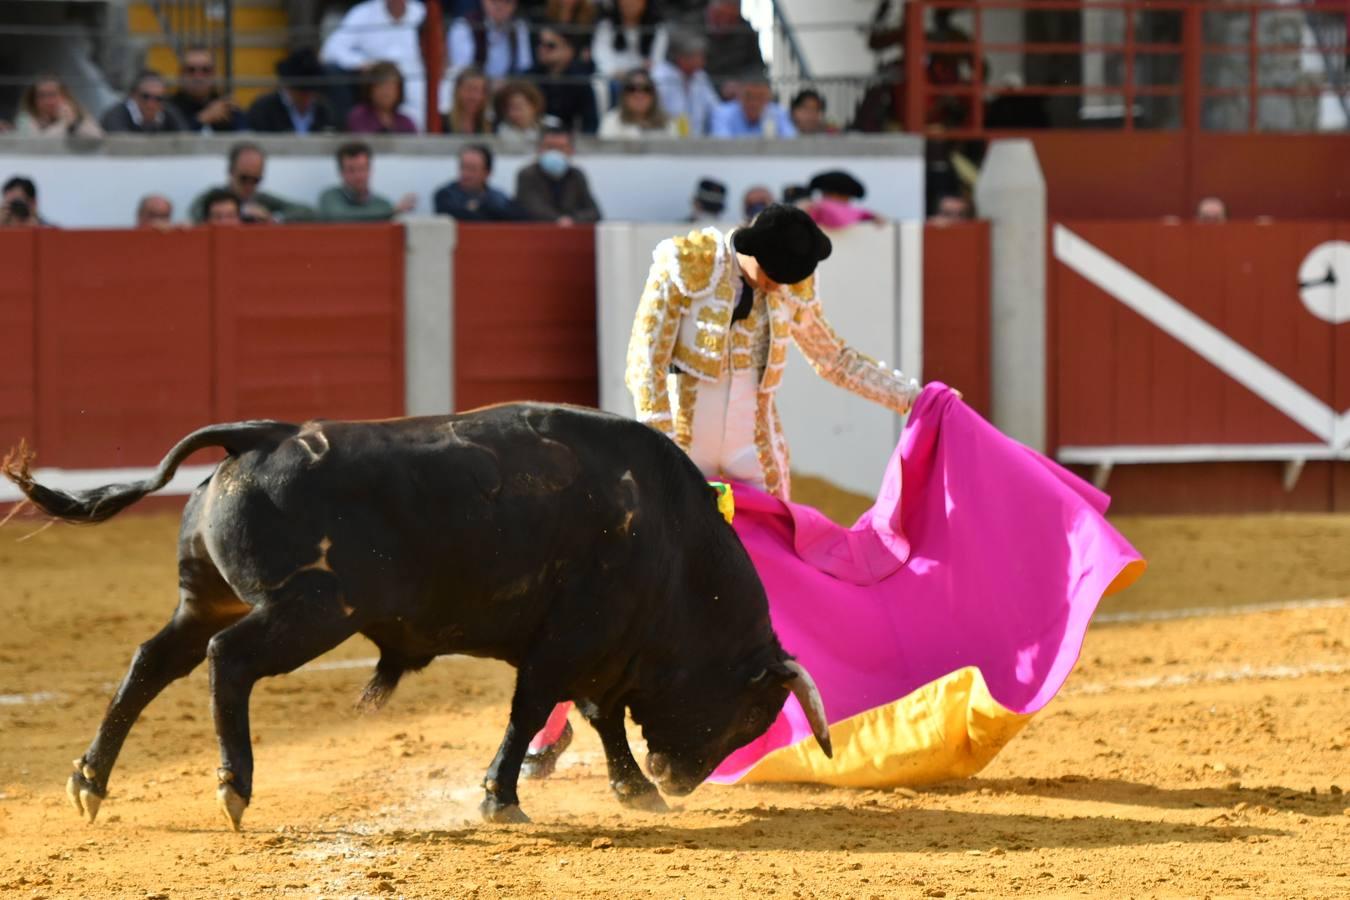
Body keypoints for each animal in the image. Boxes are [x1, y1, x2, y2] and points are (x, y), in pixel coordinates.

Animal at [0, 407, 826, 831]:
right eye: (749, 715)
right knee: (227, 660)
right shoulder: (569, 641)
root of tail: (262, 435)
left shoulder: (595, 649)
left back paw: (89, 781)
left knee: (151, 661)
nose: (678, 780)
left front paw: (632, 790)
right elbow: (536, 712)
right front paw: (502, 799)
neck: (673, 538)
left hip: (207, 598)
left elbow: (600, 715)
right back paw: (233, 786)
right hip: (309, 611)